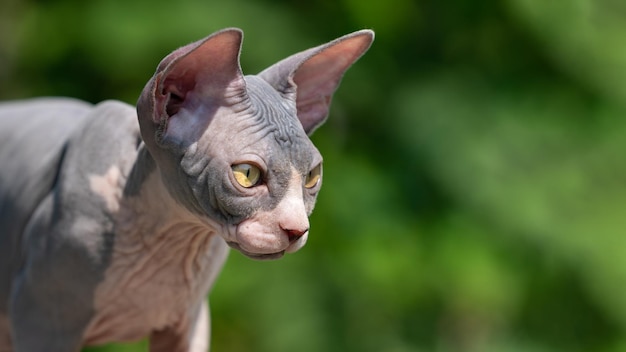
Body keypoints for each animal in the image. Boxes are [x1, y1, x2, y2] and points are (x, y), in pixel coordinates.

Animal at [0, 28, 372, 352]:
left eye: (311, 177)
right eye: (247, 175)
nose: (297, 230)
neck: (169, 238)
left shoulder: (191, 321)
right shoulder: (42, 318)